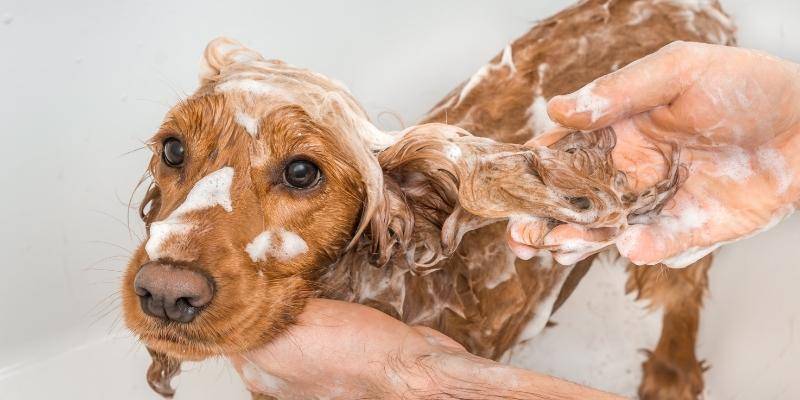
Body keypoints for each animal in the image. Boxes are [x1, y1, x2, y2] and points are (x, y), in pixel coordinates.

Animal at [123, 1, 736, 398]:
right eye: (172, 149)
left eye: (301, 171)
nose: (166, 293)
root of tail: (690, 7)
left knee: (683, 290)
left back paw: (672, 374)